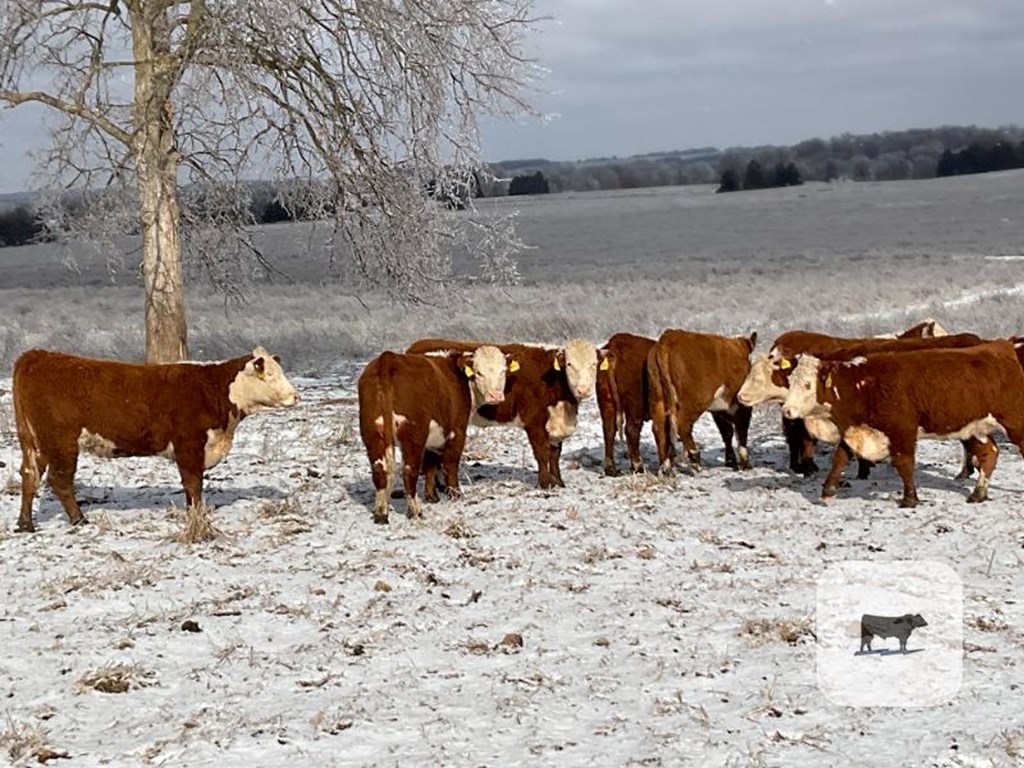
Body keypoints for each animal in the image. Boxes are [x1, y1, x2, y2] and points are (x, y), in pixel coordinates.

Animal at [14, 350, 299, 536]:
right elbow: (193, 485)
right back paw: (80, 521)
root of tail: (38, 355)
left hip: (35, 443)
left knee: (29, 476)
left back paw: (25, 525)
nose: (296, 396)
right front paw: (197, 517)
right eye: (270, 375)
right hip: (61, 443)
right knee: (59, 481)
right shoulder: (189, 446)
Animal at [358, 346, 509, 528]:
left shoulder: (433, 439)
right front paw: (455, 494)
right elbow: (450, 464)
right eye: (478, 372)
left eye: (503, 371)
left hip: (372, 432)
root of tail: (387, 359)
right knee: (409, 473)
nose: (496, 396)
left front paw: (432, 497)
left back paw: (381, 514)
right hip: (413, 435)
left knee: (380, 471)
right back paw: (416, 511)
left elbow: (430, 465)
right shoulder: (457, 431)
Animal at [403, 337, 602, 493]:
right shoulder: (534, 422)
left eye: (593, 364)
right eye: (569, 364)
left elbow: (555, 455)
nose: (584, 390)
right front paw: (545, 484)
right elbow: (542, 454)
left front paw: (559, 483)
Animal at [643, 327, 757, 473]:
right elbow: (741, 432)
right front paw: (745, 464)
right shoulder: (742, 407)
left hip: (657, 396)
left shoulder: (718, 409)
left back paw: (666, 467)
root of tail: (668, 337)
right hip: (694, 401)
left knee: (659, 427)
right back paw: (694, 459)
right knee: (682, 424)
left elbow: (727, 432)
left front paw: (731, 461)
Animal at [778, 339, 1024, 507]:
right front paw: (827, 492)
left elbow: (904, 463)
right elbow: (840, 459)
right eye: (790, 381)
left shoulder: (902, 429)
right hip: (974, 429)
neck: (865, 386)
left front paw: (909, 499)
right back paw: (978, 494)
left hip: (1014, 422)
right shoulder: (855, 431)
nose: (787, 410)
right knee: (989, 454)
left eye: (808, 385)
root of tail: (1001, 346)